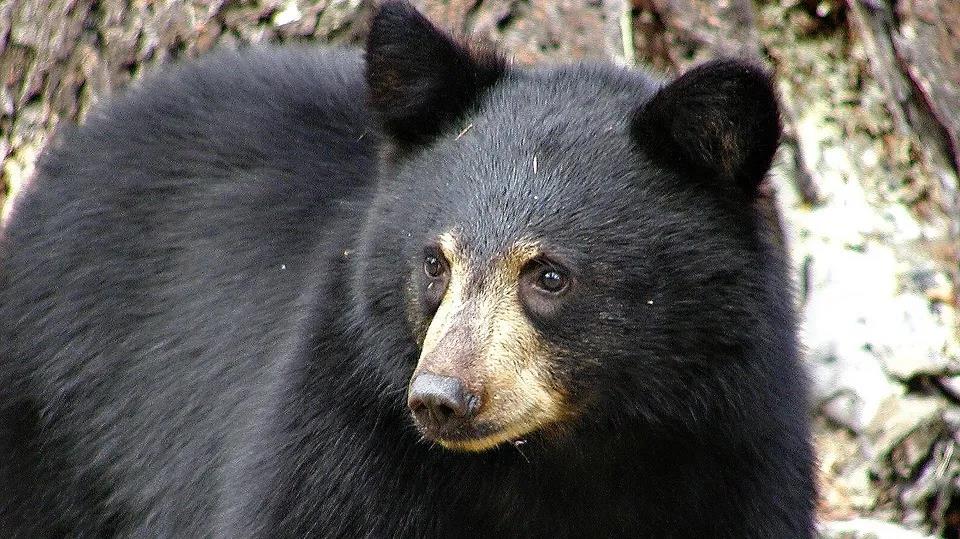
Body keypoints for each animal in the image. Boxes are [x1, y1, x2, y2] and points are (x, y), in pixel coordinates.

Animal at [0, 2, 816, 536]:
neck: (560, 458)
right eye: (434, 262)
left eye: (549, 275)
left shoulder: (735, 451)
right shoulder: (342, 443)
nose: (440, 399)